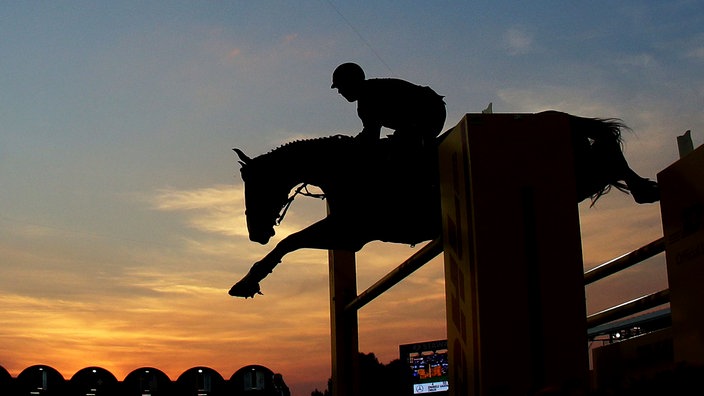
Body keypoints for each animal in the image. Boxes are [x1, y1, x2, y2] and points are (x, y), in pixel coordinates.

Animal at [228, 111, 656, 296]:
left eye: (256, 188)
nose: (254, 234)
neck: (345, 169)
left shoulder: (351, 231)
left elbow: (291, 241)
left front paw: (247, 282)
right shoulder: (348, 234)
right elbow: (293, 242)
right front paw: (249, 278)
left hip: (578, 171)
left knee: (608, 157)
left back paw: (645, 189)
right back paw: (644, 186)